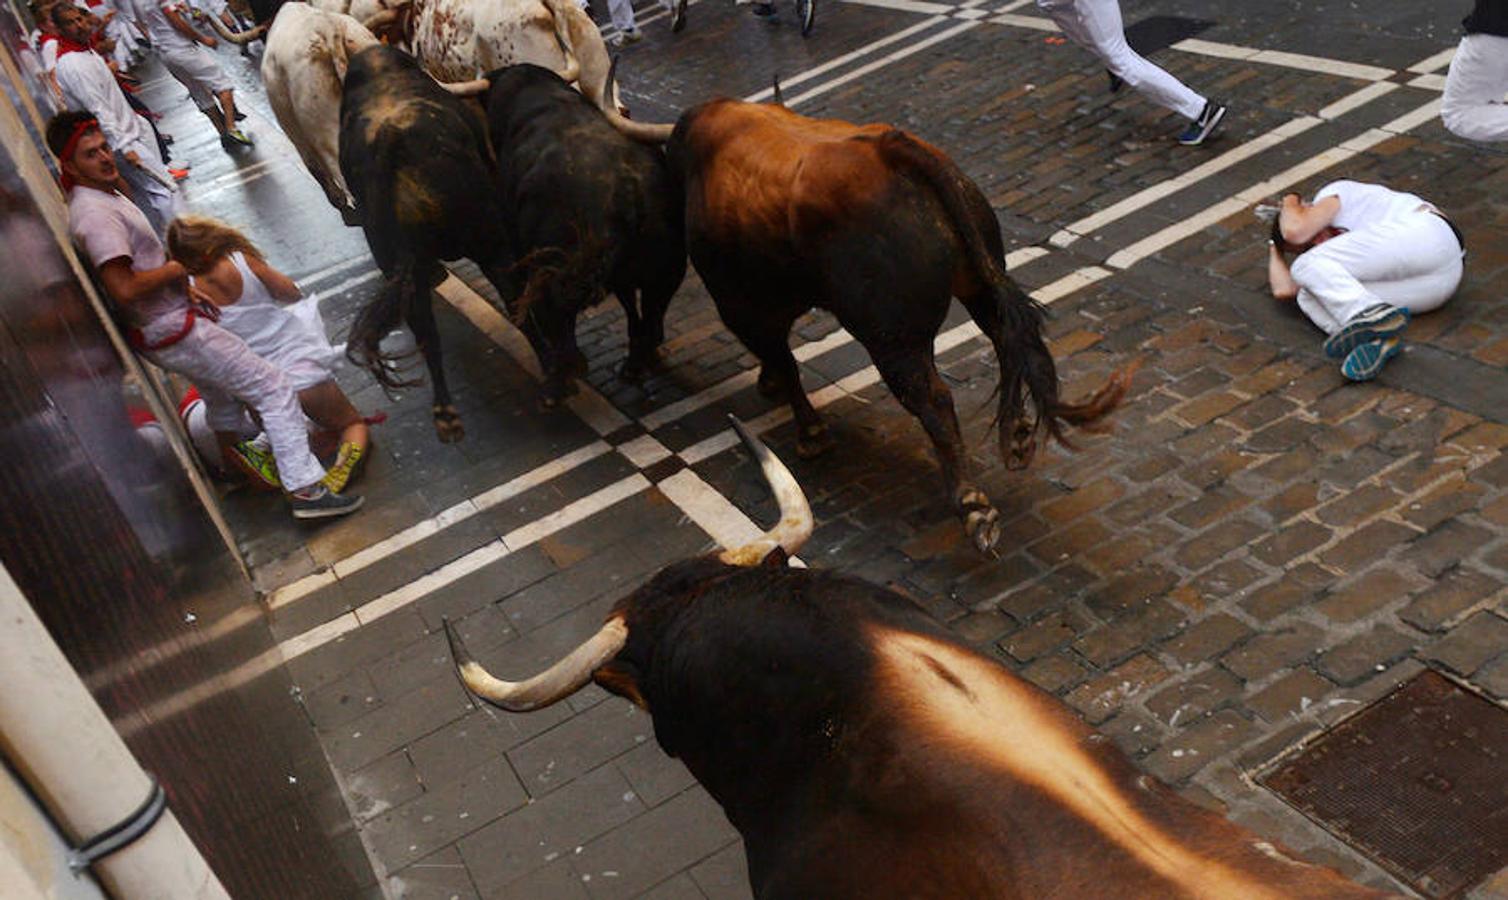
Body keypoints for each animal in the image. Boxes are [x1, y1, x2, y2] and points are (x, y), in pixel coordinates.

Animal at [482, 68, 684, 404]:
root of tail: (627, 189)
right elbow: (633, 307)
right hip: (668, 267)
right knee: (651, 314)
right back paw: (637, 361)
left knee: (556, 308)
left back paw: (562, 377)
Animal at [600, 97, 1134, 551]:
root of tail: (890, 150)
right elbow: (779, 359)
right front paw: (771, 387)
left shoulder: (740, 306)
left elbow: (784, 362)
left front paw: (810, 433)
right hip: (980, 282)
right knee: (1005, 339)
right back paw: (1016, 436)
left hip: (890, 339)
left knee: (933, 399)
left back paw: (972, 504)